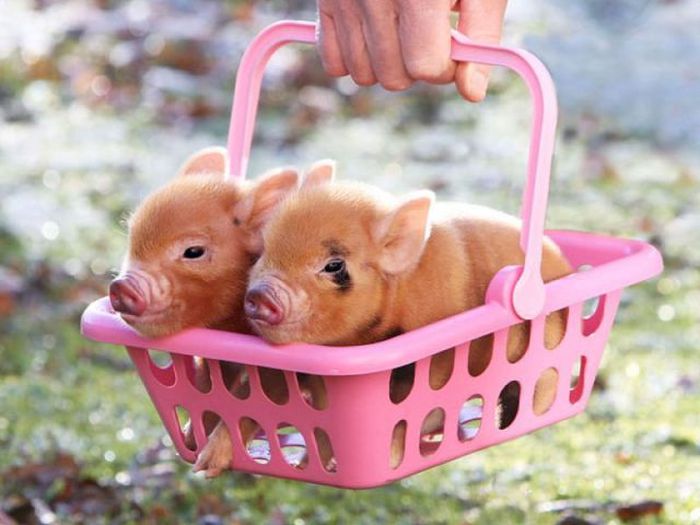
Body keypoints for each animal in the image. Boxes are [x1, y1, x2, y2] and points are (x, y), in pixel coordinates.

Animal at [109, 146, 299, 477]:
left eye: (194, 251)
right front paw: (189, 440)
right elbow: (209, 391)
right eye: (131, 238)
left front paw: (206, 466)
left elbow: (252, 407)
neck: (230, 325)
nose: (121, 286)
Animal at [244, 161, 572, 466]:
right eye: (264, 249)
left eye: (334, 265)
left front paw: (391, 460)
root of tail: (563, 263)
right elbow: (323, 431)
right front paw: (307, 463)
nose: (260, 294)